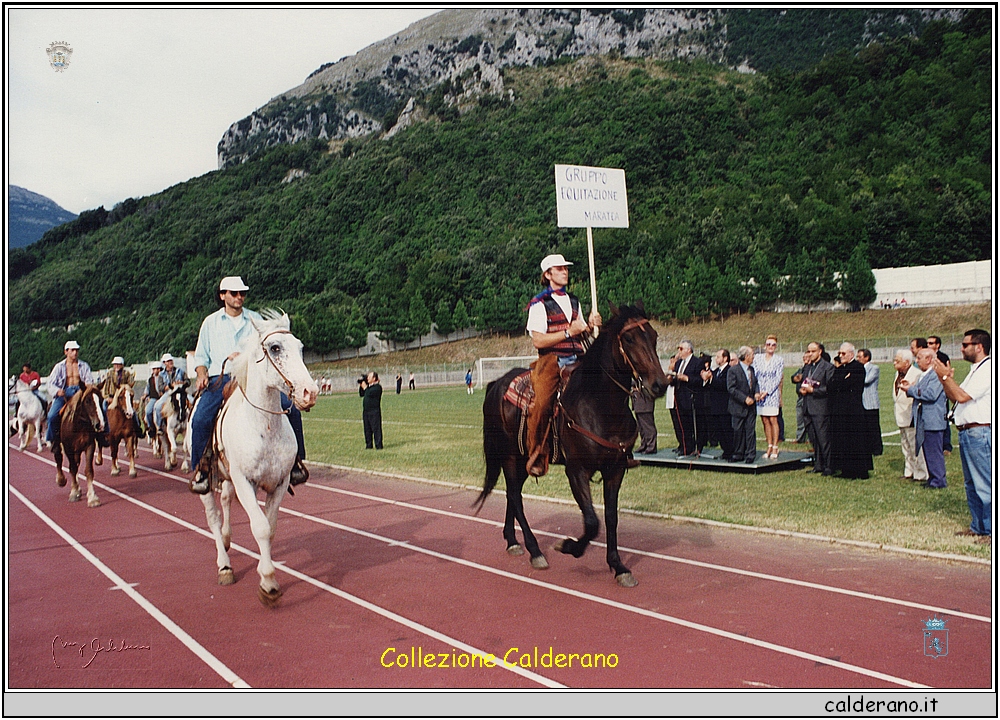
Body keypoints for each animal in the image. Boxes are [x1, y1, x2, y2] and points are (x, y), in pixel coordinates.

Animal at [185, 310, 316, 608]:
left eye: (300, 347)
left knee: (225, 502)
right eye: (275, 348)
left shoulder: (279, 483)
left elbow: (271, 527)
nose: (310, 392)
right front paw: (268, 583)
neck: (263, 425)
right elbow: (260, 527)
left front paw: (267, 576)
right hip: (206, 481)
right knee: (213, 517)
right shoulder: (245, 482)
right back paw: (224, 565)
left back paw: (227, 538)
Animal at [478, 300, 668, 588]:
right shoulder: (576, 470)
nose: (660, 385)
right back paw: (535, 550)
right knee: (515, 497)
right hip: (510, 456)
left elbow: (610, 518)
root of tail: (496, 384)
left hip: (525, 459)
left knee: (514, 494)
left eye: (654, 336)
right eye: (629, 338)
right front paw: (569, 546)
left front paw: (618, 566)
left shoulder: (616, 470)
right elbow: (591, 521)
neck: (598, 404)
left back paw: (512, 541)